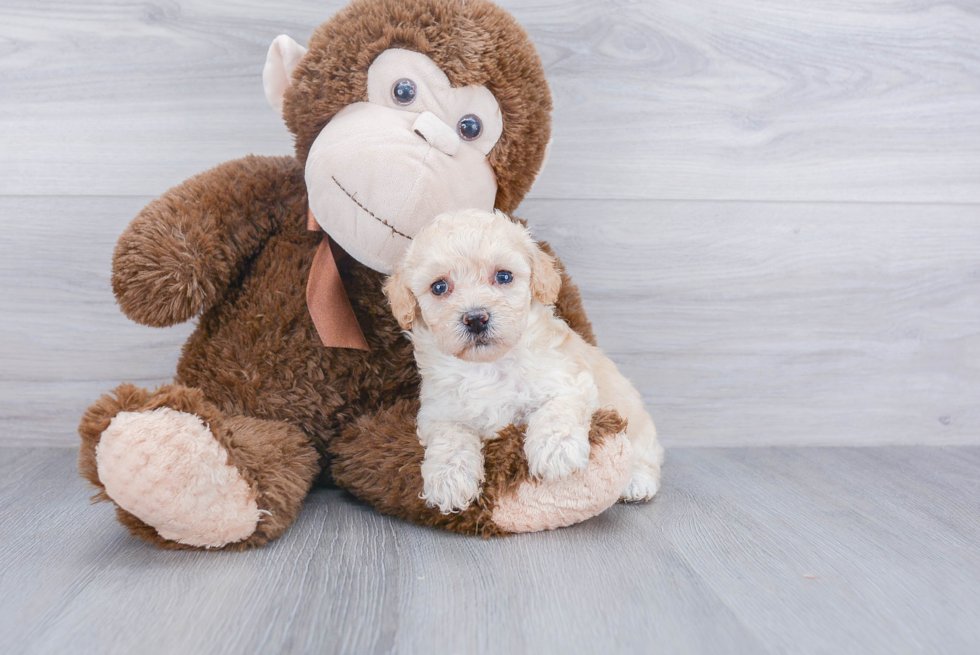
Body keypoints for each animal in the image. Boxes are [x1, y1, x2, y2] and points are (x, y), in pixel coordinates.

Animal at [382, 209, 668, 512]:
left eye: (504, 276)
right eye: (438, 287)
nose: (476, 318)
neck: (488, 367)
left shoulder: (569, 380)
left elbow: (556, 411)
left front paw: (555, 451)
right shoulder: (439, 412)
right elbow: (450, 438)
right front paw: (449, 479)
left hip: (639, 425)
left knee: (647, 457)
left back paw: (637, 482)